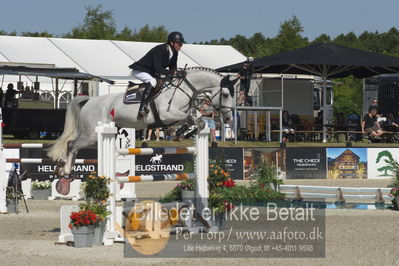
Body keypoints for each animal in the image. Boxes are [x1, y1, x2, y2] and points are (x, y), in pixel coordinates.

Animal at [48, 67, 239, 175]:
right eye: (225, 94)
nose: (228, 118)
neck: (184, 88)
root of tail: (88, 102)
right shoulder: (168, 114)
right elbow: (192, 118)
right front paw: (182, 132)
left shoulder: (171, 118)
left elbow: (196, 122)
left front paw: (180, 132)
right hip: (92, 135)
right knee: (72, 144)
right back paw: (65, 171)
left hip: (93, 137)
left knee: (73, 145)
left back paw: (63, 168)